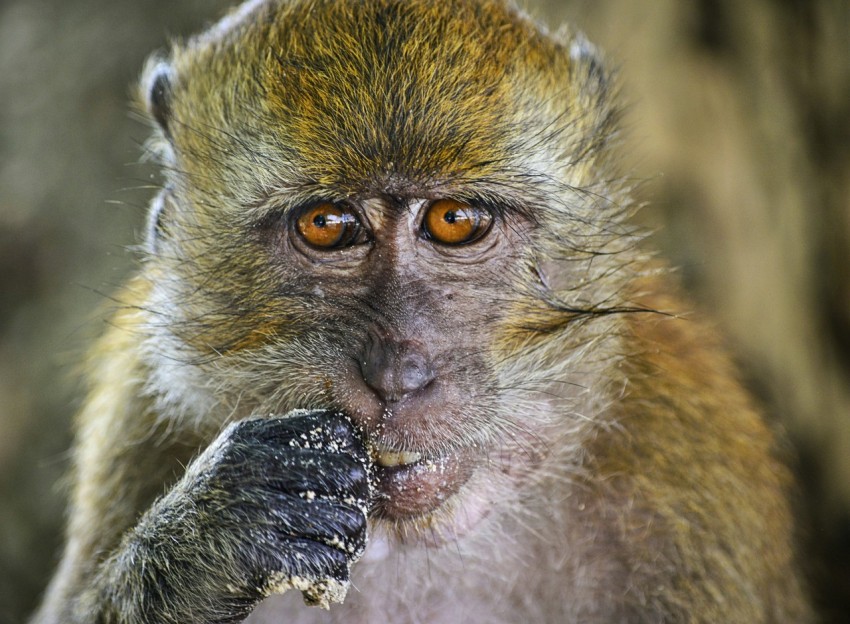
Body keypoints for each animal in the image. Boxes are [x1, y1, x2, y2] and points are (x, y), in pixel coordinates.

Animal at [31, 0, 814, 622]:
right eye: (328, 225)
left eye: (454, 220)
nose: (397, 376)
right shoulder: (133, 415)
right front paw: (216, 533)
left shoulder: (688, 469)